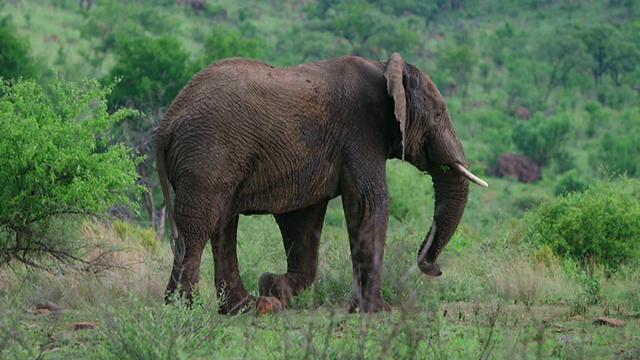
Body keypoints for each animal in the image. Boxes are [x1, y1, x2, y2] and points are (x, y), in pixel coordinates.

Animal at [158, 53, 488, 316]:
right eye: (438, 114)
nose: (434, 269)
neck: (385, 67)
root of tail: (166, 122)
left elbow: (302, 221)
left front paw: (273, 285)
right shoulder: (361, 130)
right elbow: (371, 203)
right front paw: (377, 311)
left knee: (223, 225)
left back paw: (248, 307)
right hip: (207, 155)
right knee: (198, 229)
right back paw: (185, 311)